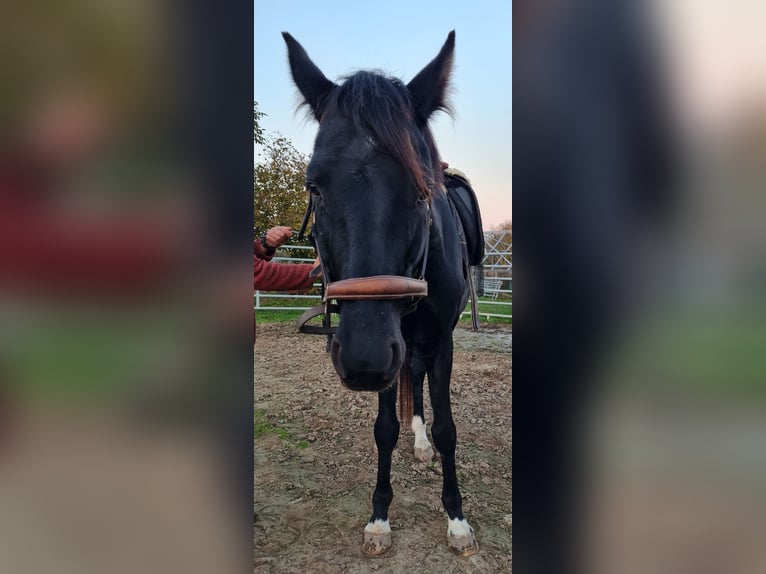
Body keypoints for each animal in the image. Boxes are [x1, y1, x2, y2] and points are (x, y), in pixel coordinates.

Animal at [284, 31, 480, 560]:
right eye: (314, 187)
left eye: (421, 189)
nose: (365, 359)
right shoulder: (391, 346)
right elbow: (385, 429)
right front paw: (378, 519)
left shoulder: (441, 341)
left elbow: (449, 428)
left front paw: (456, 520)